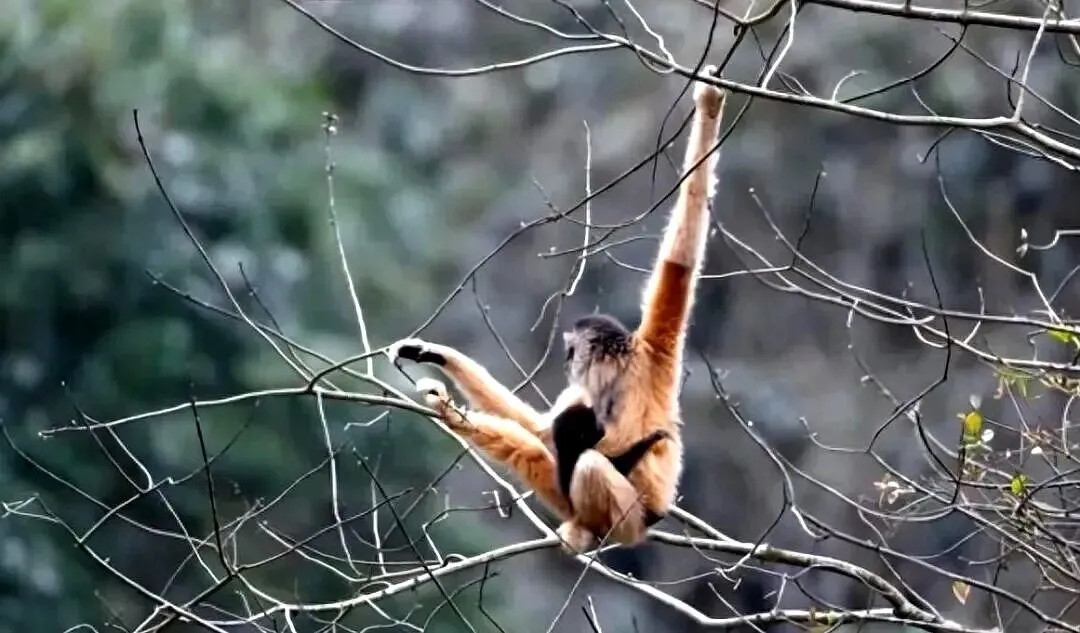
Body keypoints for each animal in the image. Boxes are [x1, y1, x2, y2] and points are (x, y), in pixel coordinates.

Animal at [391, 66, 725, 552]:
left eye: (572, 349)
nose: (567, 358)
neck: (613, 379)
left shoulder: (654, 352)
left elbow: (680, 259)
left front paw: (710, 105)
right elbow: (539, 428)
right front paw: (436, 361)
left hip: (632, 519)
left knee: (585, 457)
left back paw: (588, 530)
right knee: (542, 442)